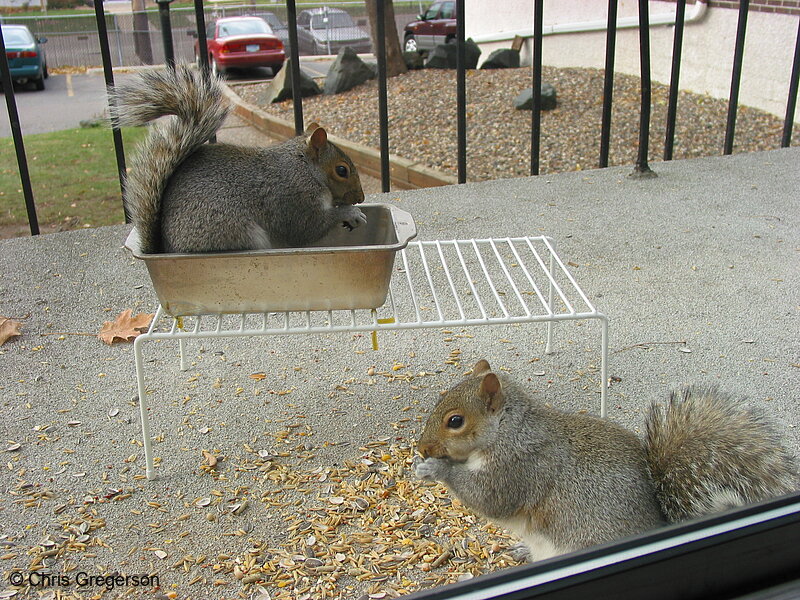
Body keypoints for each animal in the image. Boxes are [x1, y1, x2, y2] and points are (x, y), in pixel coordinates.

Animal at [109, 65, 366, 253]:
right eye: (341, 170)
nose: (361, 198)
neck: (305, 167)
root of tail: (166, 248)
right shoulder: (292, 197)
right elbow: (306, 228)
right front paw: (349, 213)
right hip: (232, 230)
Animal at [416, 358, 796, 560]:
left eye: (455, 421)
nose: (422, 448)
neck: (507, 431)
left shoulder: (521, 466)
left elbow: (490, 498)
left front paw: (436, 468)